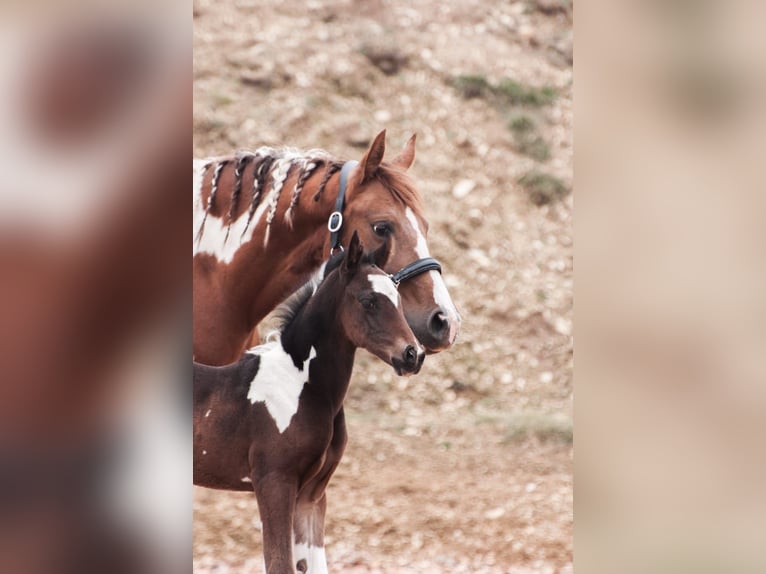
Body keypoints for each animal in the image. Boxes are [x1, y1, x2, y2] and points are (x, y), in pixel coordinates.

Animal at [193, 231, 423, 574]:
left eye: (398, 300)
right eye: (368, 301)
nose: (413, 354)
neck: (301, 385)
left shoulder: (312, 494)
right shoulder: (274, 482)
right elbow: (279, 564)